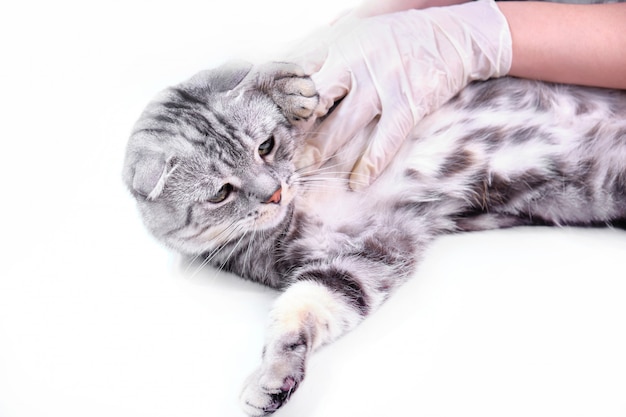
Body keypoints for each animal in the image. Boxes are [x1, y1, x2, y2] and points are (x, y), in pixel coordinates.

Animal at [122, 60, 624, 414]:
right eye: (222, 192)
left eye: (265, 146)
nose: (275, 192)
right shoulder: (364, 252)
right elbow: (307, 304)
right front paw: (274, 376)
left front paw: (289, 88)